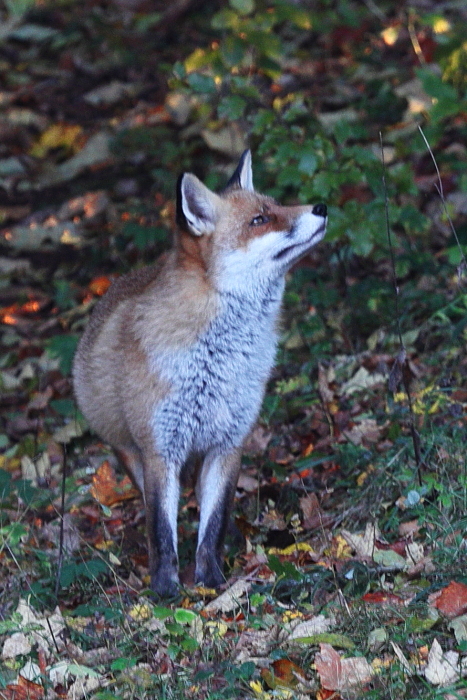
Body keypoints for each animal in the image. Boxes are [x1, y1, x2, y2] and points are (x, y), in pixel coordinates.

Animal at [74, 150, 330, 592]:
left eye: (276, 205)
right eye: (260, 219)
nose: (321, 207)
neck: (215, 362)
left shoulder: (228, 443)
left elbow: (214, 525)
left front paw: (211, 581)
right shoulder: (160, 449)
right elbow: (162, 530)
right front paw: (165, 591)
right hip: (131, 453)